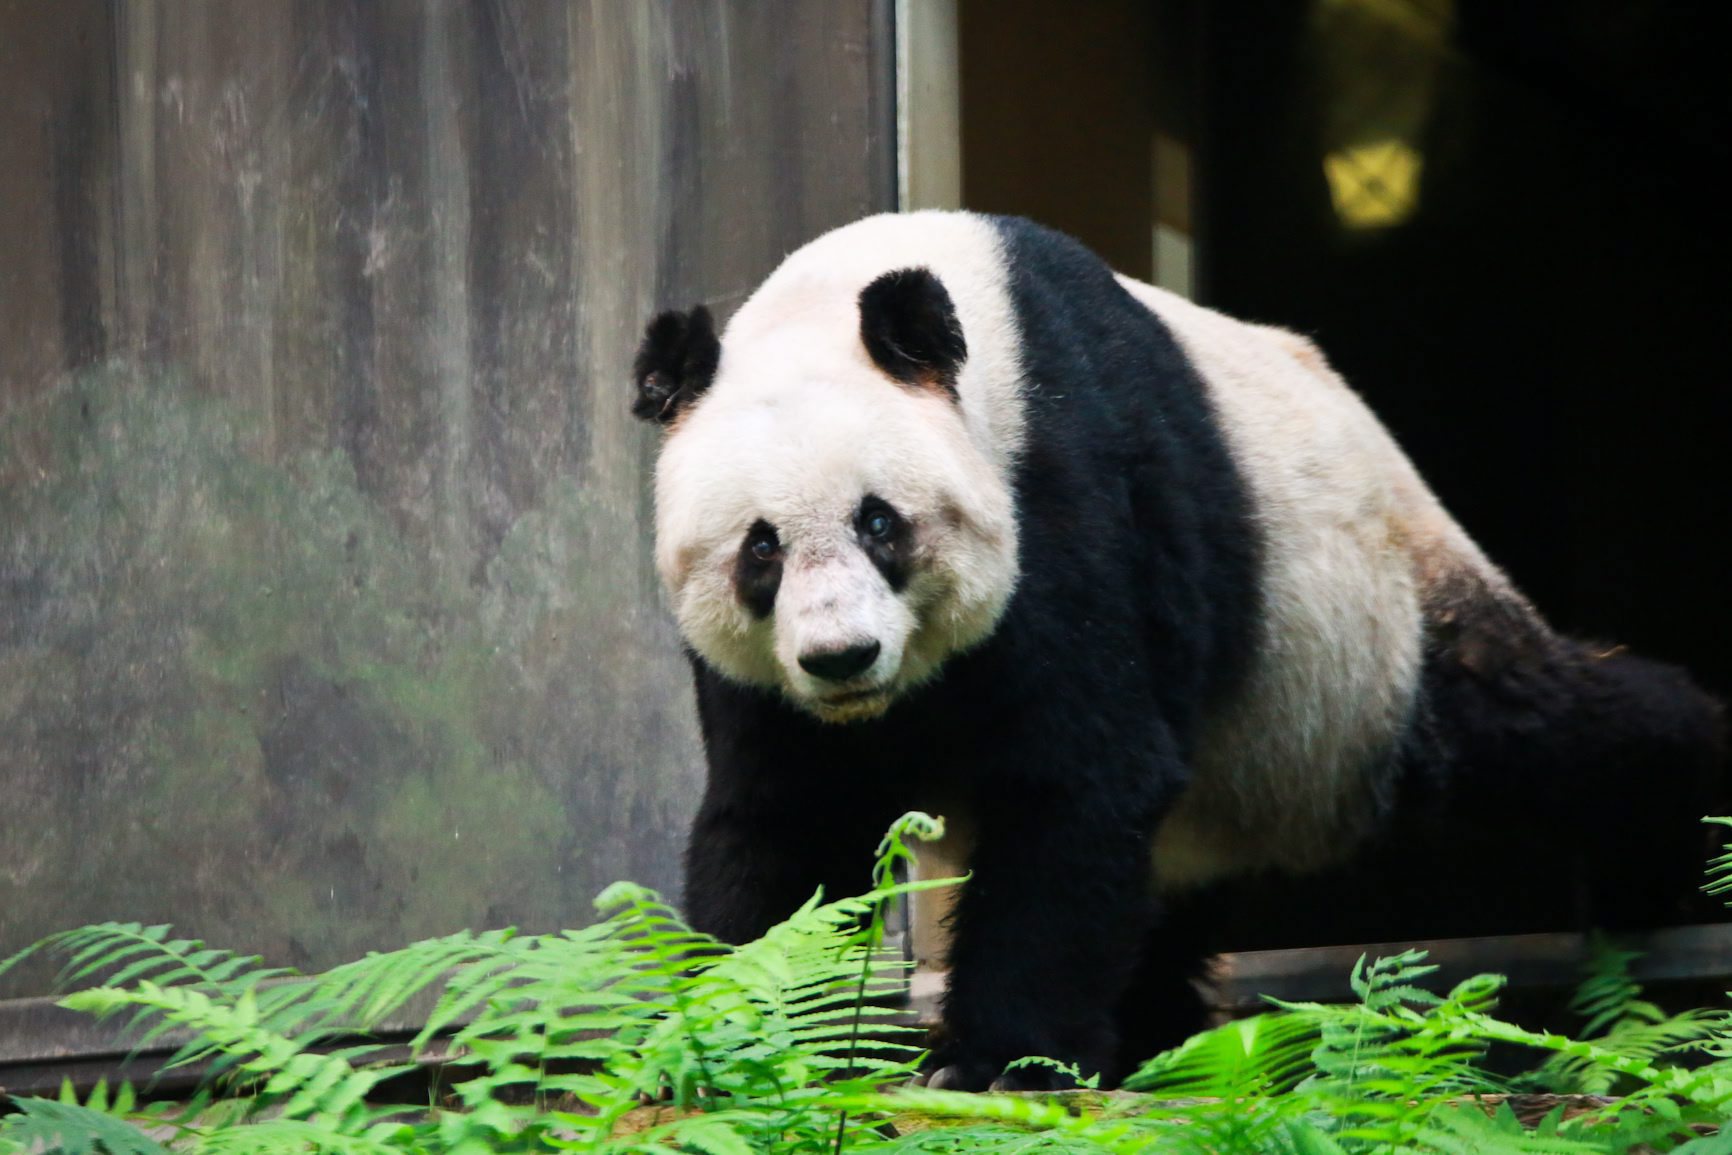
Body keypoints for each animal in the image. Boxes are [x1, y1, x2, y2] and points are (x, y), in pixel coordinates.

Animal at [631, 211, 1723, 1091]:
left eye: (879, 522)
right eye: (760, 549)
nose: (842, 656)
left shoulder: (1069, 490)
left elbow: (1081, 778)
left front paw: (993, 1064)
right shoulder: (765, 688)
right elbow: (785, 823)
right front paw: (739, 1030)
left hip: (1366, 639)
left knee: (1530, 727)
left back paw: (1665, 854)